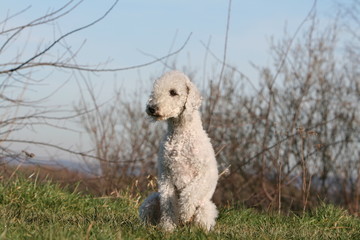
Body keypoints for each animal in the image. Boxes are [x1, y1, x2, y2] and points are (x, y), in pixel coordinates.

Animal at [139, 71, 218, 231]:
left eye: (173, 92)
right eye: (155, 89)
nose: (151, 108)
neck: (180, 134)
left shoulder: (205, 173)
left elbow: (190, 193)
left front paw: (184, 213)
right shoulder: (166, 176)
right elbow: (168, 205)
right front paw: (168, 228)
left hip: (205, 208)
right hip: (151, 201)